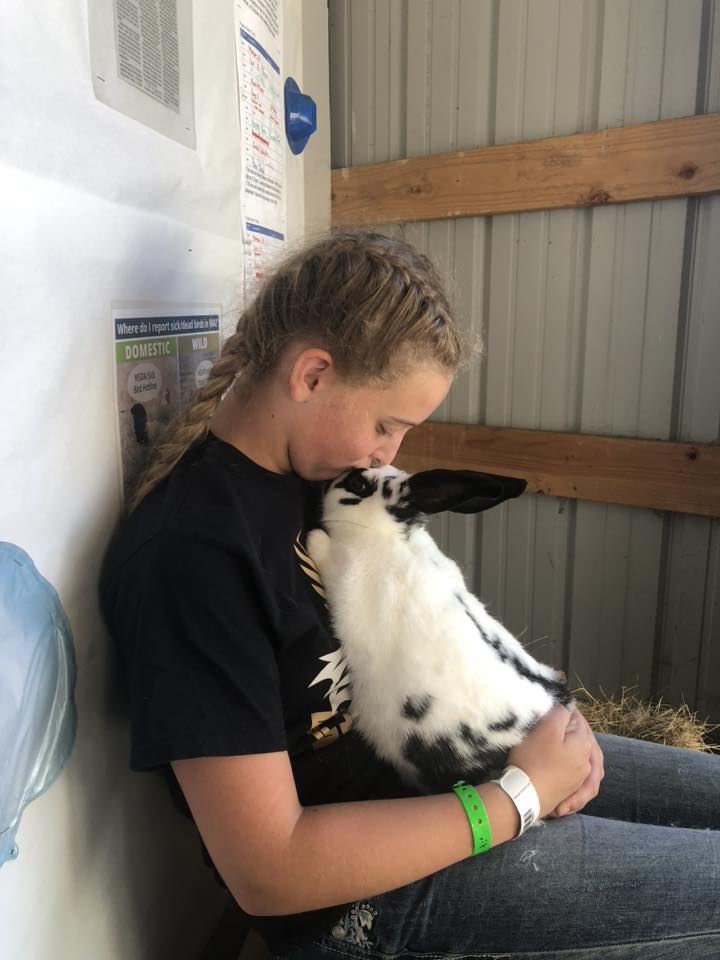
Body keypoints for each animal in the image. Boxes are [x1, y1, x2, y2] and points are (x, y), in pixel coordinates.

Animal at [306, 465, 574, 796]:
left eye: (358, 484)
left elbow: (321, 547)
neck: (386, 534)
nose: (325, 483)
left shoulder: (341, 574)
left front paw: (313, 536)